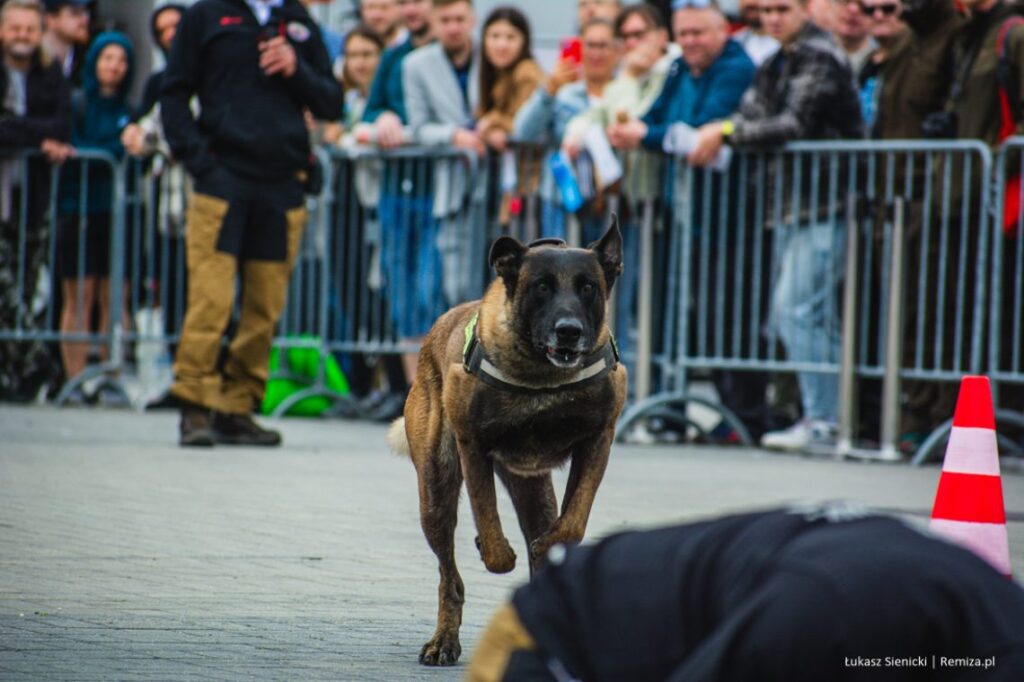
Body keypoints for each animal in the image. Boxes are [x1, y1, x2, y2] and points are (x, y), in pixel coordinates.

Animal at [388, 219, 627, 666]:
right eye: (542, 287)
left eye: (588, 287)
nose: (569, 332)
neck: (542, 379)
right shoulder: (473, 447)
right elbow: (489, 521)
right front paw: (495, 548)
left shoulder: (598, 441)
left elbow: (571, 521)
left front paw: (550, 546)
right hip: (435, 491)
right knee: (449, 576)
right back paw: (444, 640)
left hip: (532, 490)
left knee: (541, 522)